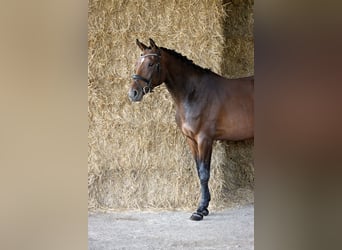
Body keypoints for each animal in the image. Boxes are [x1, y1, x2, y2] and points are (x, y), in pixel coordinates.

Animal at [128, 38, 254, 220]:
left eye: (151, 64)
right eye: (137, 63)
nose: (133, 93)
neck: (194, 94)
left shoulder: (204, 139)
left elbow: (204, 173)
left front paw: (200, 210)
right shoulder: (191, 140)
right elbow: (199, 171)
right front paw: (204, 207)